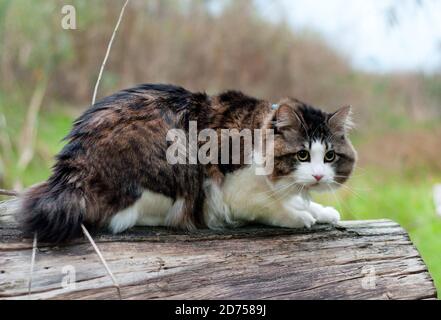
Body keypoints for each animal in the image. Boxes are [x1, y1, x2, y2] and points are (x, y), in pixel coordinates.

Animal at [14, 84, 358, 242]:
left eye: (329, 156)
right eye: (302, 155)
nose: (318, 176)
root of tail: (73, 168)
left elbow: (301, 201)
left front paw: (319, 210)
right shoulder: (231, 192)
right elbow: (271, 207)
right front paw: (299, 216)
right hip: (173, 163)